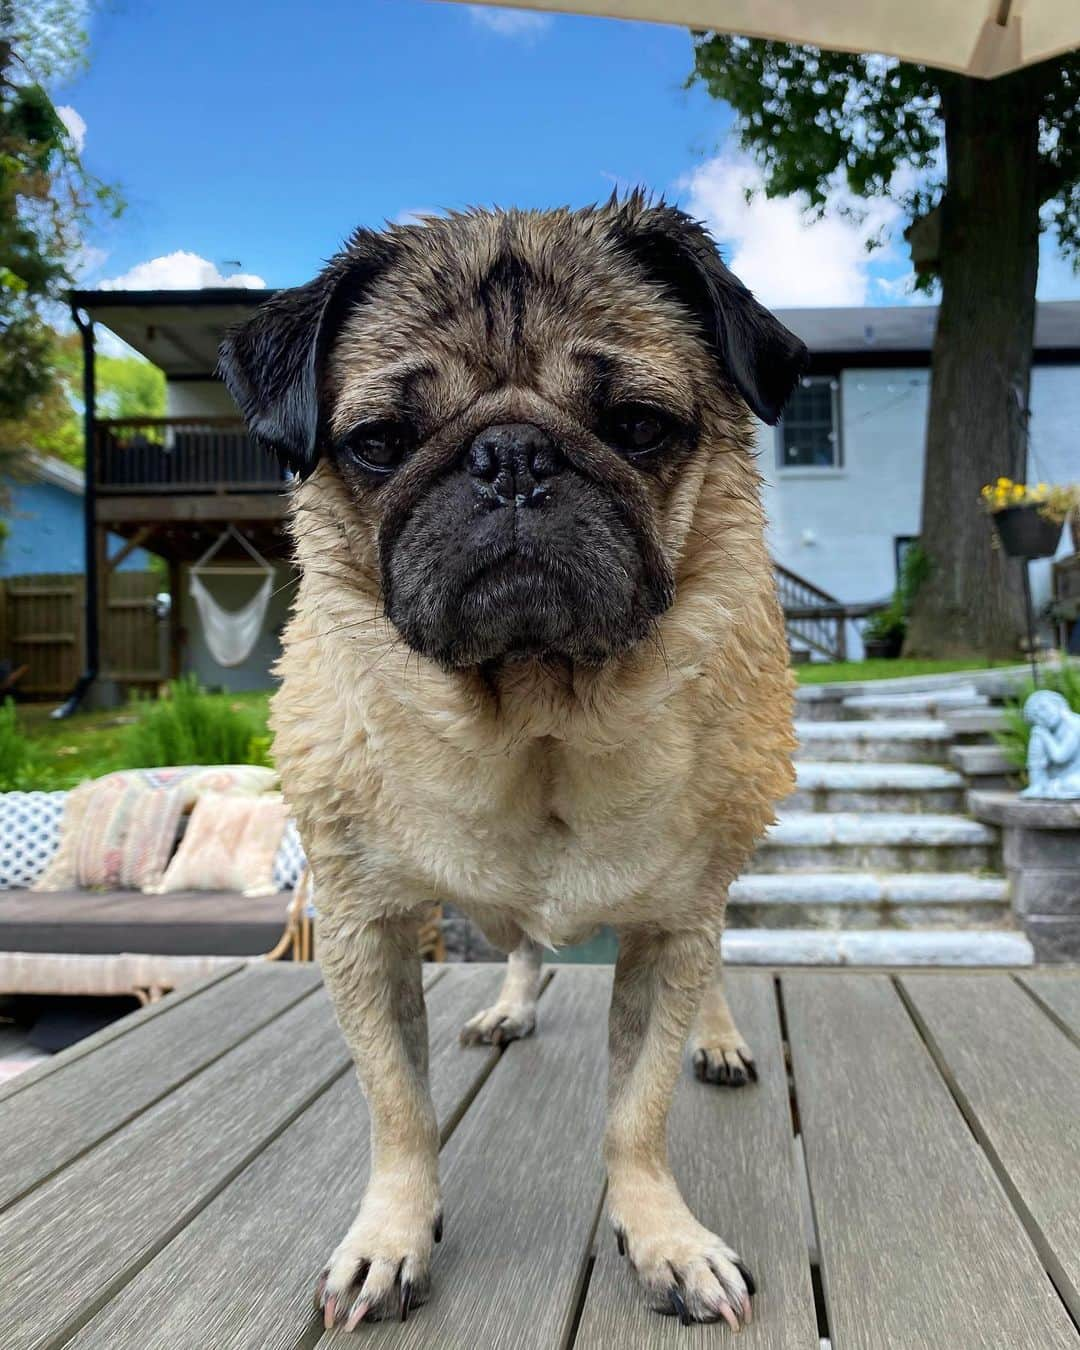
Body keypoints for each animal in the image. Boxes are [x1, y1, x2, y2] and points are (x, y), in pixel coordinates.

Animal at [218, 195, 804, 1333]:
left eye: (638, 428)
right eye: (380, 443)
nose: (513, 458)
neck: (534, 722)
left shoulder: (669, 928)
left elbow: (637, 1112)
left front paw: (663, 1237)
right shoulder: (361, 928)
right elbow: (398, 1109)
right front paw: (391, 1237)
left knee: (715, 959)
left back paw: (716, 1038)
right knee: (524, 942)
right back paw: (509, 1004)